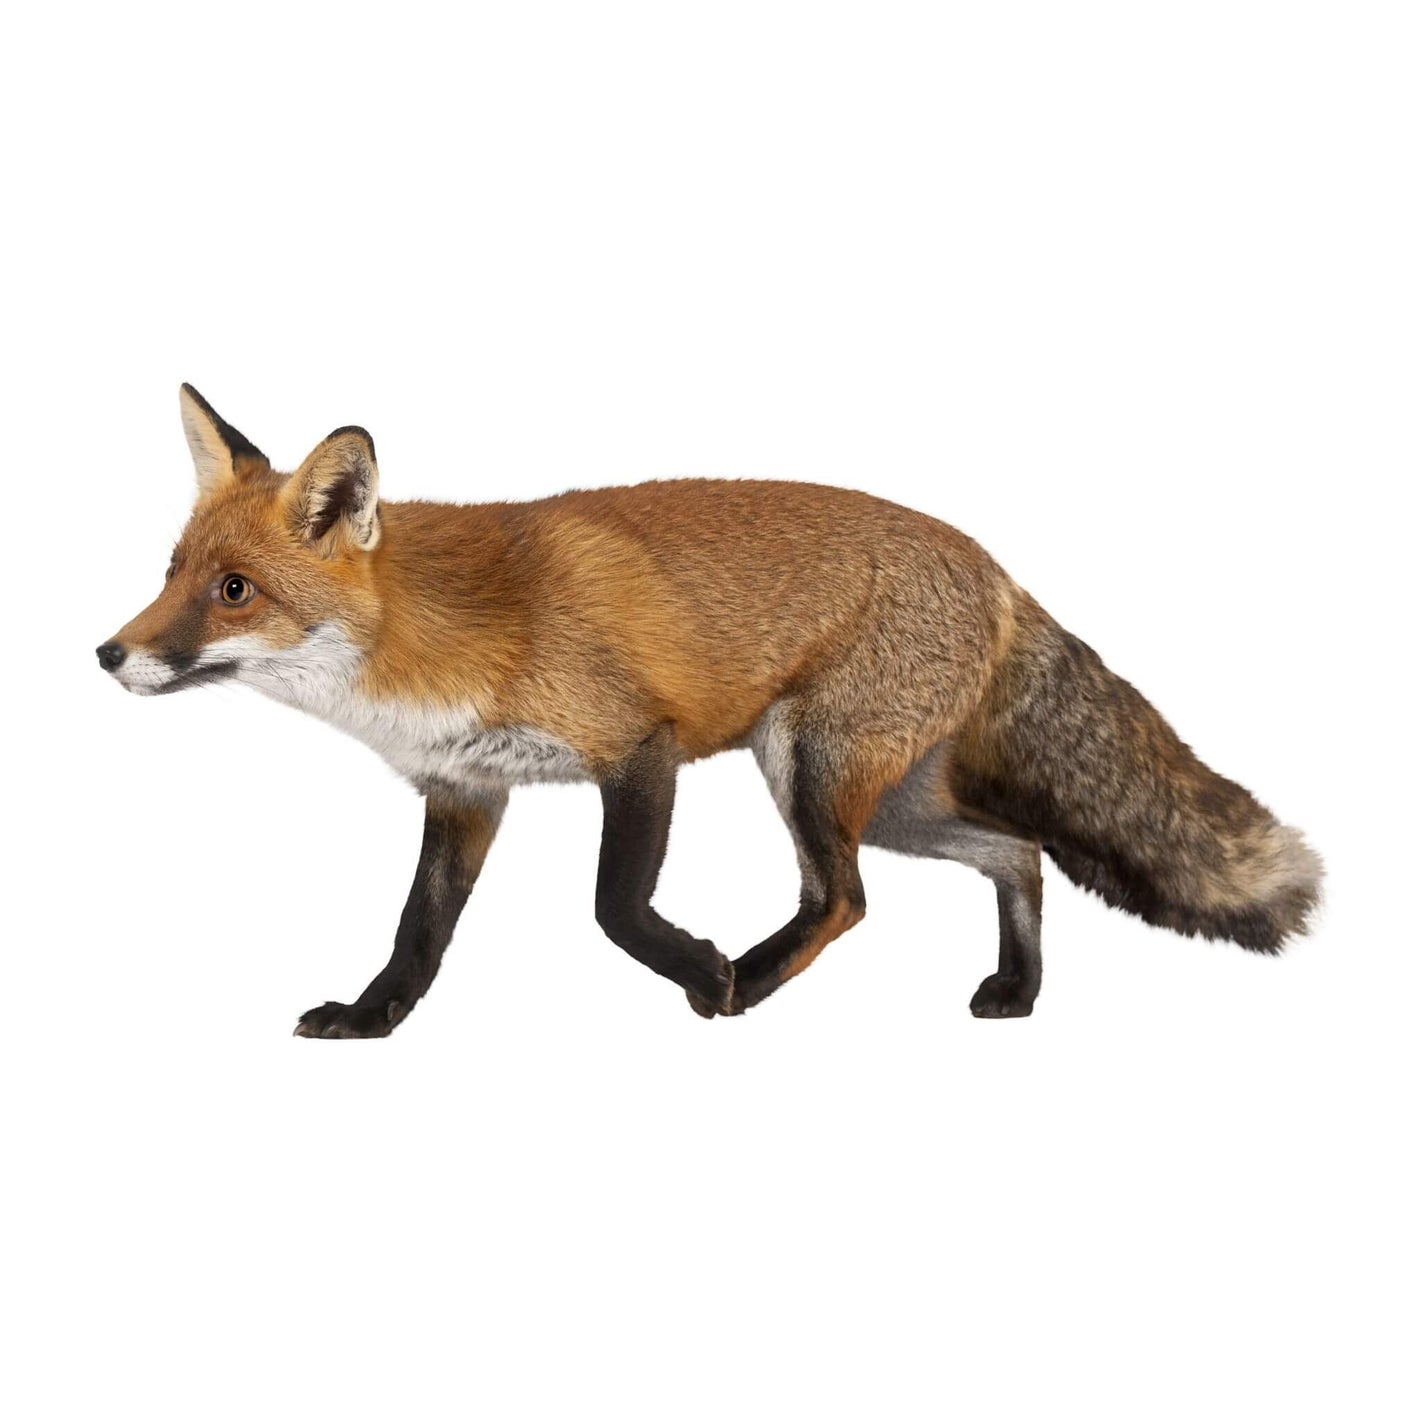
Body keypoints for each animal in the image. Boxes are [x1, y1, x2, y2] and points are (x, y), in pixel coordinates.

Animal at [98, 386, 1322, 1037]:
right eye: (171, 572)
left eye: (235, 590)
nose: (108, 653)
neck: (424, 638)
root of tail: (997, 571)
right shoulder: (468, 790)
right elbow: (417, 932)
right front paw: (370, 1021)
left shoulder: (642, 748)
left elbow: (614, 906)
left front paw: (700, 969)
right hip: (893, 799)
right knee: (1015, 853)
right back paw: (1018, 990)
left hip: (807, 764)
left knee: (845, 899)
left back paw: (754, 980)